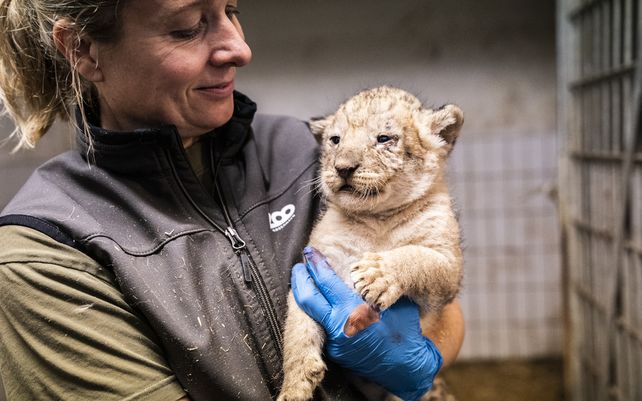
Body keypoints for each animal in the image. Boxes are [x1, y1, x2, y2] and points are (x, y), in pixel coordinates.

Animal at [278, 86, 464, 401]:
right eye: (335, 140)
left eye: (384, 138)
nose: (343, 168)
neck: (379, 219)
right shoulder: (313, 268)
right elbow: (297, 325)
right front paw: (295, 385)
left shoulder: (449, 268)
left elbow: (419, 258)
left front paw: (377, 275)